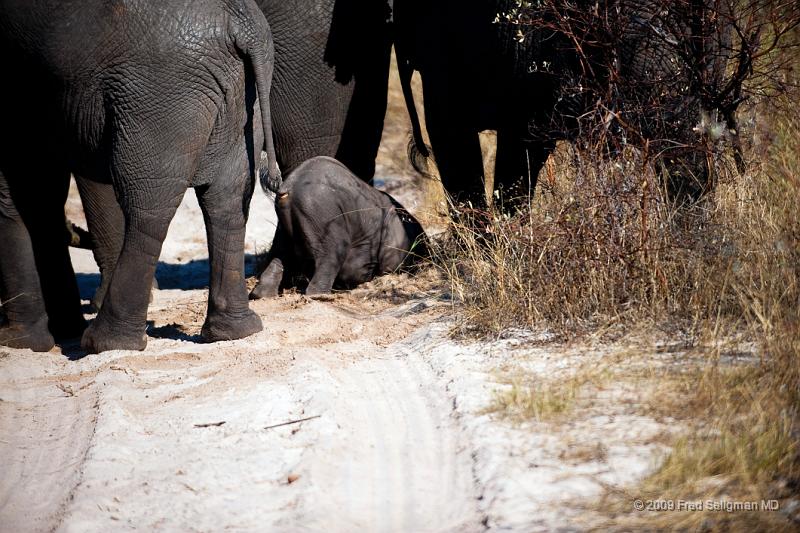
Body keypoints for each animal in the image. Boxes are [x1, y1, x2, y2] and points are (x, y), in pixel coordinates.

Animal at [0, 0, 282, 354]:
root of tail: (241, 21)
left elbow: (20, 192)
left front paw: (18, 343)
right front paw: (53, 332)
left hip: (160, 92)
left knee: (148, 208)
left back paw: (106, 342)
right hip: (240, 95)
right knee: (226, 202)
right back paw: (235, 332)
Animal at [252, 155, 424, 300]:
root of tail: (287, 188)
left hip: (287, 222)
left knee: (280, 253)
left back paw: (262, 295)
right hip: (320, 212)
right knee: (333, 253)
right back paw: (320, 296)